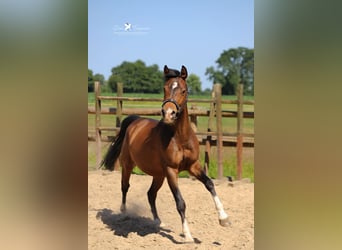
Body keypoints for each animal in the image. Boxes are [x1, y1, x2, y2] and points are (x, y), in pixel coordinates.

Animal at [101, 65, 230, 242]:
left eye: (183, 90)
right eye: (164, 88)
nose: (169, 113)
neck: (180, 138)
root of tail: (135, 121)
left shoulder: (193, 166)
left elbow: (210, 184)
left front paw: (224, 219)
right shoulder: (171, 171)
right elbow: (180, 202)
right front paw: (187, 235)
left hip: (158, 175)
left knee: (151, 194)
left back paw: (158, 221)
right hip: (128, 166)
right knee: (125, 187)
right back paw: (124, 214)